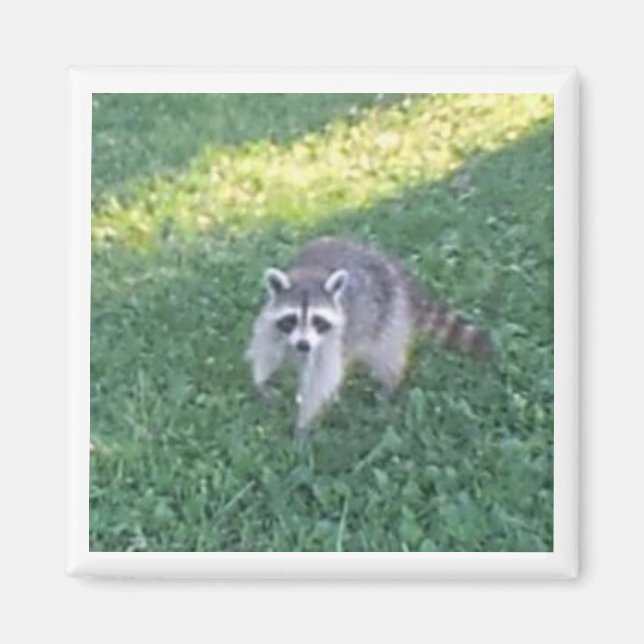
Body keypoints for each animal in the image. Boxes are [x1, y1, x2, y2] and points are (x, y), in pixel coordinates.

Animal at [246, 237, 490, 441]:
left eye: (318, 320)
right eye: (291, 319)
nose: (303, 345)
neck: (308, 276)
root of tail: (389, 263)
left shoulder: (332, 337)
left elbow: (322, 377)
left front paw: (304, 422)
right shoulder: (270, 323)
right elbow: (265, 352)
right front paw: (262, 383)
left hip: (389, 312)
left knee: (385, 354)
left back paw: (389, 385)